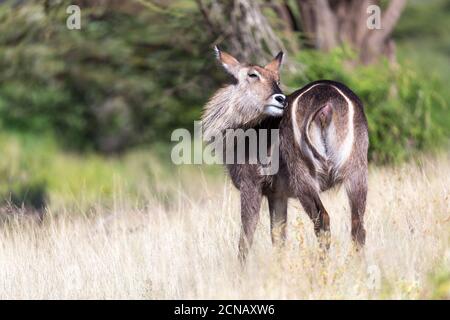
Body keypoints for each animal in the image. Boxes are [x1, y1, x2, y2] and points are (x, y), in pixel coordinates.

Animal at [202, 48, 368, 262]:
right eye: (253, 74)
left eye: (277, 79)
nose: (280, 98)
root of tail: (327, 104)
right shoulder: (278, 194)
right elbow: (278, 238)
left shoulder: (251, 184)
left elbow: (246, 238)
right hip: (356, 171)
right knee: (358, 227)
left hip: (304, 177)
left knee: (323, 221)